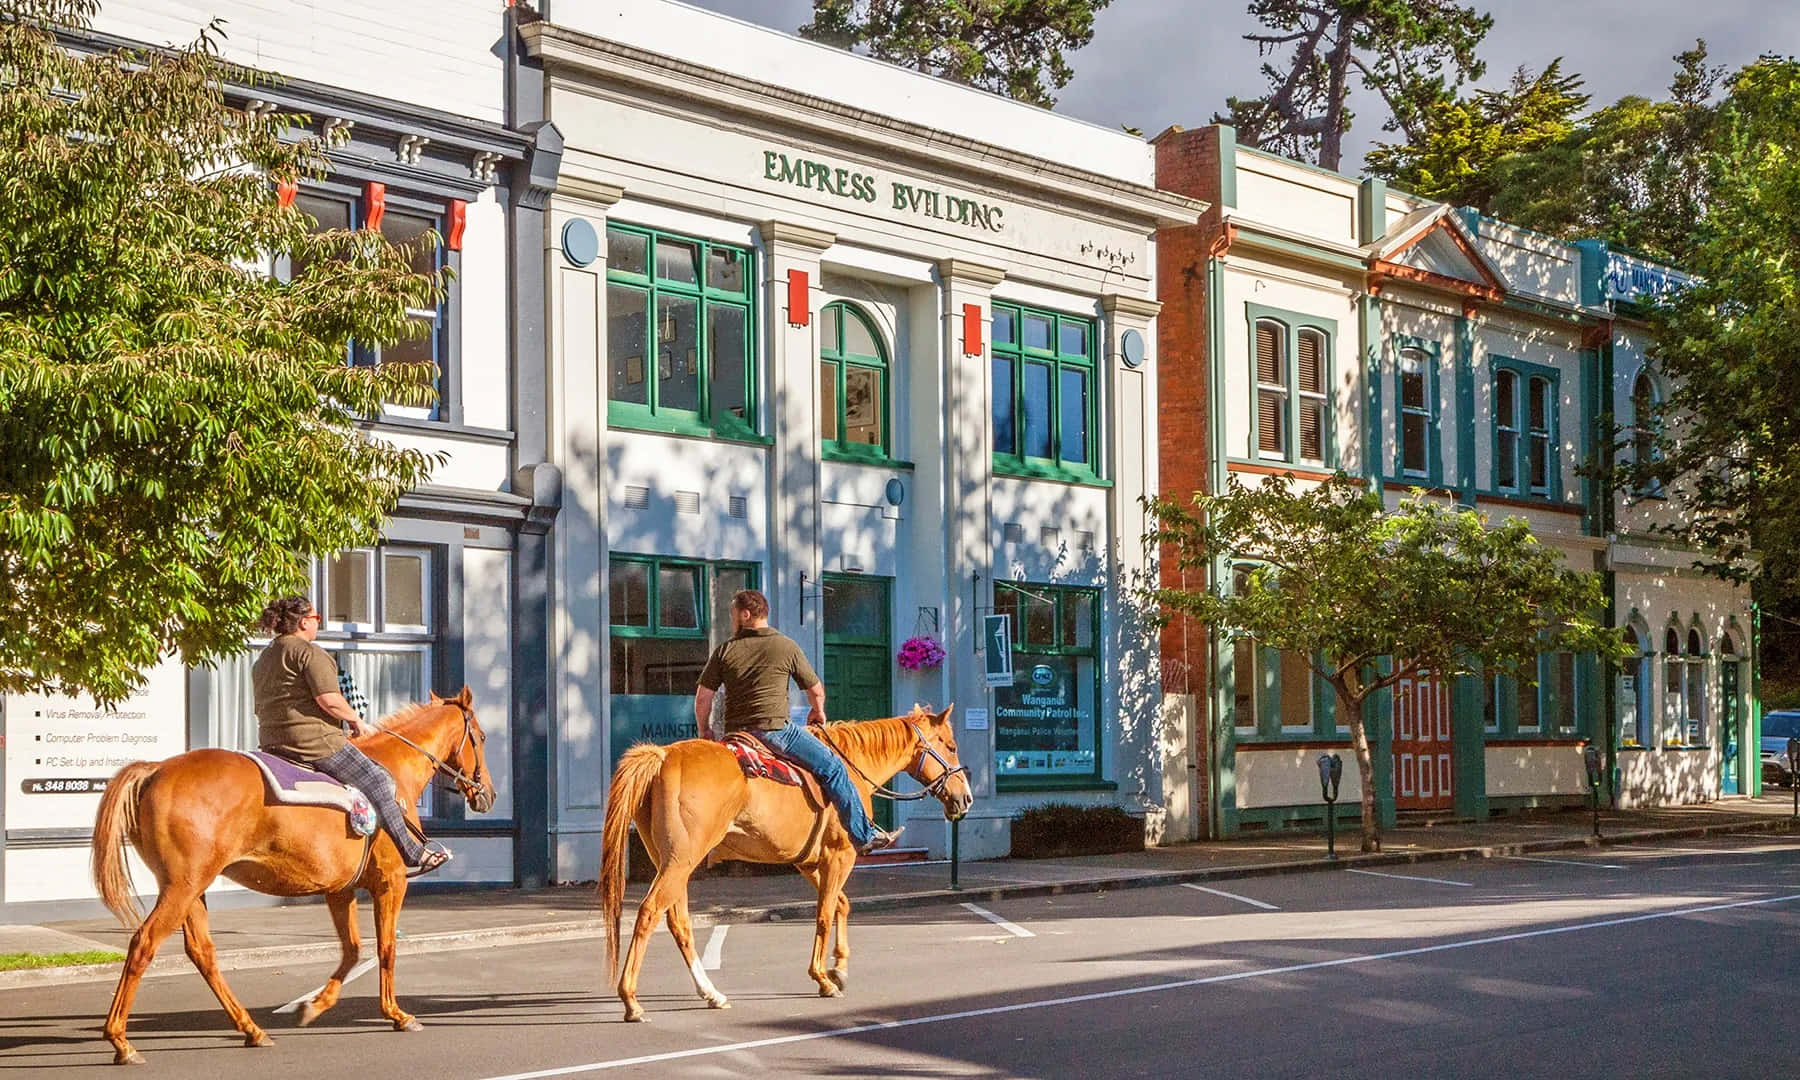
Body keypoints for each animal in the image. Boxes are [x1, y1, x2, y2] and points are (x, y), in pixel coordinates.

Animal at [87, 687, 489, 1065]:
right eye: (482, 737)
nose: (487, 793)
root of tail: (155, 769)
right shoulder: (391, 882)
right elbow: (385, 948)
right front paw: (396, 1014)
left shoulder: (339, 890)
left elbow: (352, 950)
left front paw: (315, 1005)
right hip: (182, 887)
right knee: (144, 944)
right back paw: (121, 1041)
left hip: (190, 889)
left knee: (203, 953)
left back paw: (251, 1029)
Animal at [597, 702, 972, 1022]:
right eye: (951, 746)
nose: (965, 797)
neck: (853, 766)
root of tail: (663, 756)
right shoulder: (839, 856)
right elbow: (824, 914)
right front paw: (823, 978)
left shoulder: (808, 862)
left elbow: (841, 904)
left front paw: (839, 966)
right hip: (679, 861)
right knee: (649, 913)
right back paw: (631, 1000)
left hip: (672, 862)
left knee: (679, 923)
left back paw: (711, 993)